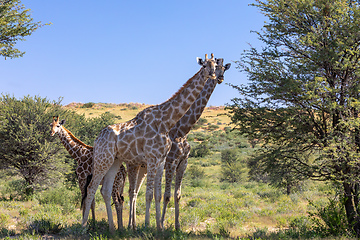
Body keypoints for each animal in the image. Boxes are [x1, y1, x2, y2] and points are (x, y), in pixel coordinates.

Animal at [81, 53, 217, 232]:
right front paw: (147, 226)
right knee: (92, 187)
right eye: (204, 66)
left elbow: (158, 195)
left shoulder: (161, 160)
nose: (214, 75)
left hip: (114, 161)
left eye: (216, 65)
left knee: (105, 190)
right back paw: (83, 227)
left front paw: (160, 227)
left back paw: (112, 228)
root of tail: (97, 139)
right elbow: (149, 194)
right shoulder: (153, 159)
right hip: (103, 159)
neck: (167, 121)